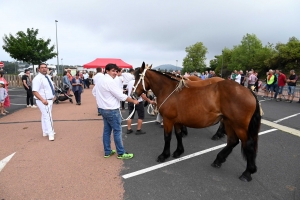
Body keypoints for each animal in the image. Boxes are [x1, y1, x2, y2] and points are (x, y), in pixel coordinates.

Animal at [134, 62, 262, 181]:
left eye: (138, 77)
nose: (133, 94)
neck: (170, 90)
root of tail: (248, 91)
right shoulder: (177, 121)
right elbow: (178, 135)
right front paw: (178, 151)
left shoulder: (168, 120)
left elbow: (167, 137)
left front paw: (164, 155)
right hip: (228, 122)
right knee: (232, 141)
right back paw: (218, 160)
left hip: (239, 126)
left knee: (248, 145)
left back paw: (247, 172)